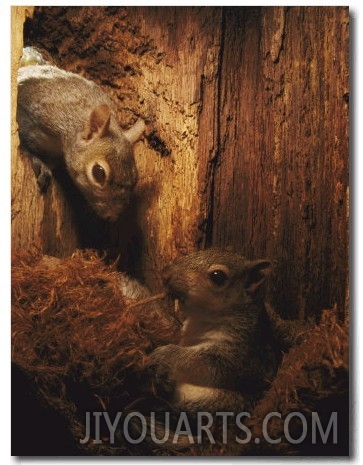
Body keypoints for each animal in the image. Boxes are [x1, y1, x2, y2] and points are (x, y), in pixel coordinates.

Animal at [149, 250, 280, 414]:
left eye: (218, 276)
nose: (165, 273)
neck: (201, 319)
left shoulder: (237, 356)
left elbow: (203, 362)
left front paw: (164, 354)